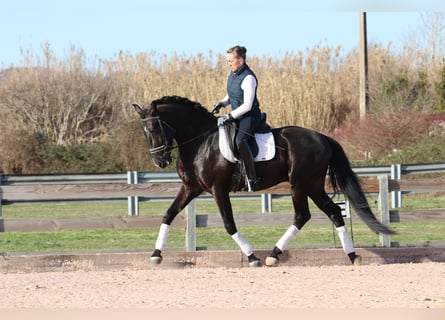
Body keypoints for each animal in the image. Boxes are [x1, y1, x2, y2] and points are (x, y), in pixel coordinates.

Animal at [132, 96, 392, 266]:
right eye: (144, 131)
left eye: (155, 127)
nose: (160, 161)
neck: (200, 143)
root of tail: (322, 137)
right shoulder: (191, 188)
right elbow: (168, 214)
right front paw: (156, 254)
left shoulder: (218, 189)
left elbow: (229, 224)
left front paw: (251, 256)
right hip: (313, 185)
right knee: (333, 212)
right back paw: (352, 255)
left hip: (300, 184)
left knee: (302, 215)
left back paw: (273, 255)